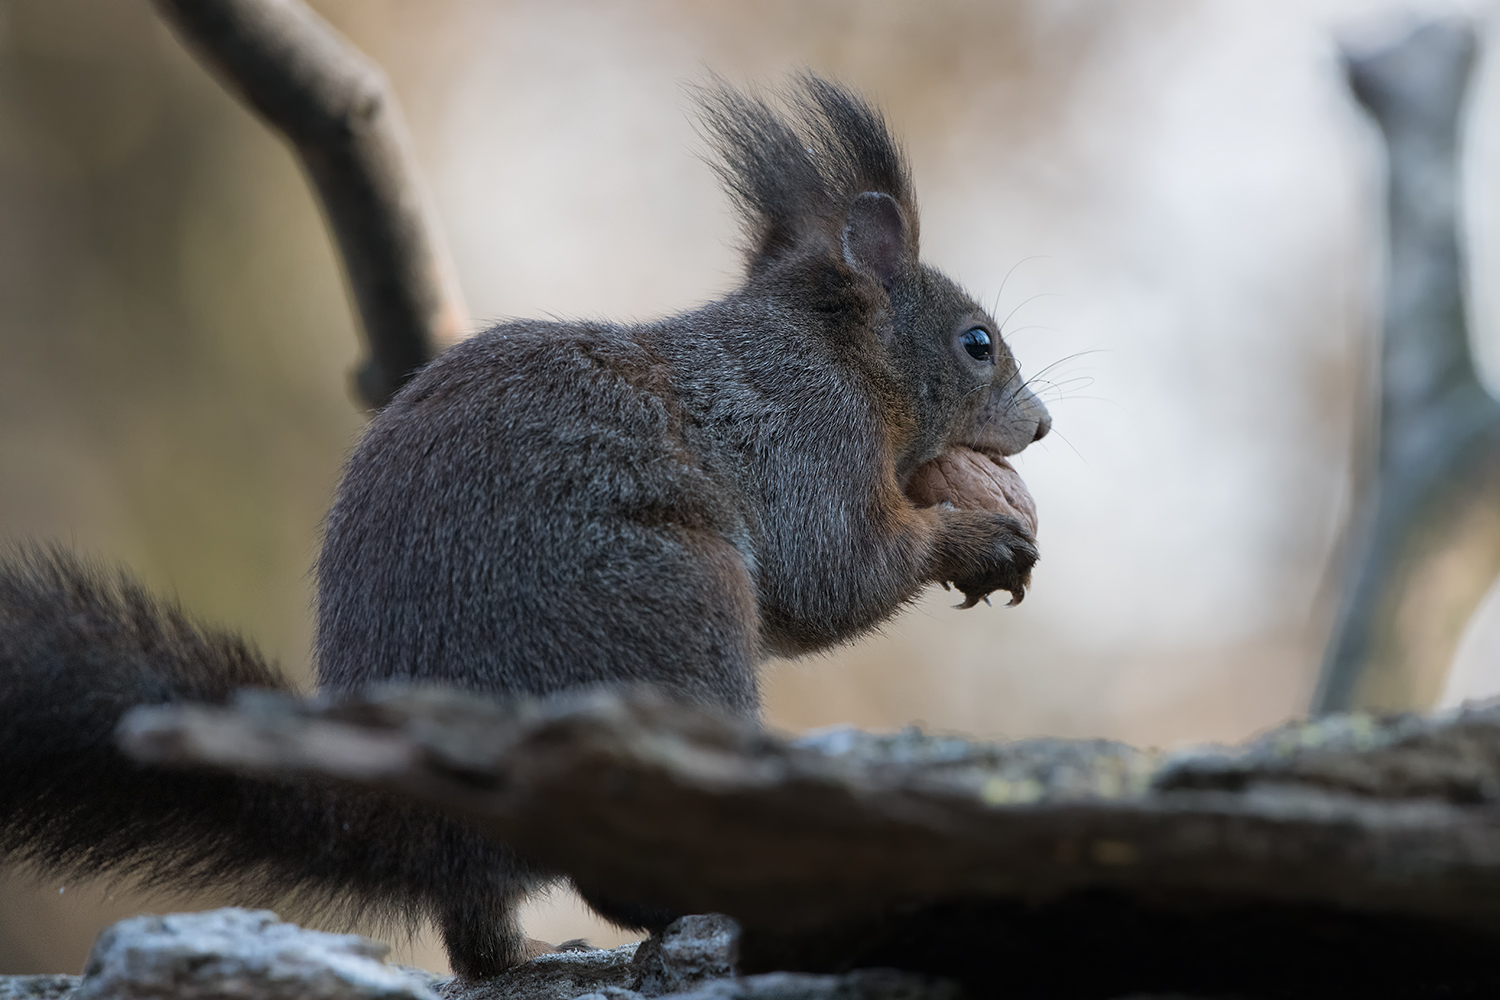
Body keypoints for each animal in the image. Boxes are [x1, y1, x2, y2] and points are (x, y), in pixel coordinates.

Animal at [0, 76, 1048, 978]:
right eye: (978, 343)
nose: (1040, 426)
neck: (841, 352)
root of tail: (435, 809)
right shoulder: (805, 435)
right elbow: (835, 573)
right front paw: (975, 538)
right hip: (676, 620)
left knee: (476, 929)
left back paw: (519, 955)